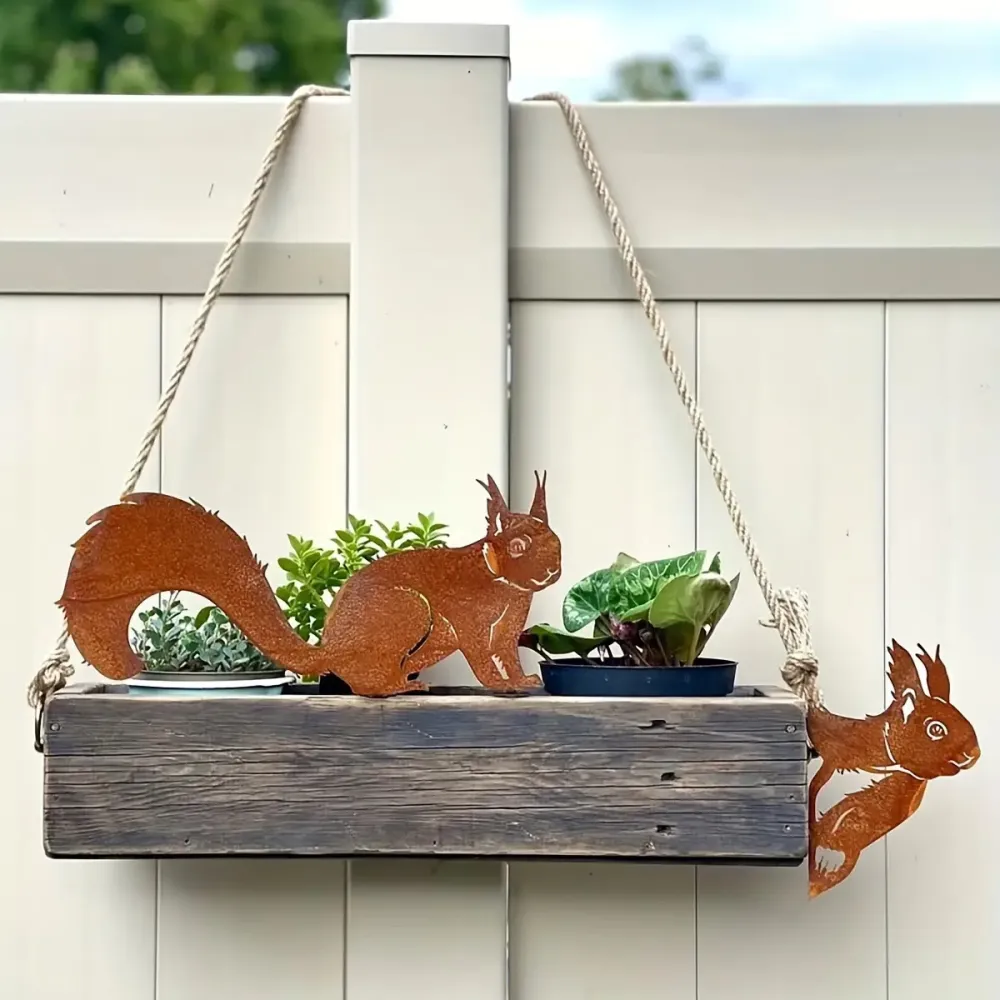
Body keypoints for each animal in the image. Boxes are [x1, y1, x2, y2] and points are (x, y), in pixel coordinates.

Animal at [57, 473, 562, 696]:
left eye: (556, 540)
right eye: (517, 545)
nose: (552, 571)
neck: (502, 583)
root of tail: (331, 652)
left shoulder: (511, 618)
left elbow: (506, 649)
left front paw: (522, 679)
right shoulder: (469, 613)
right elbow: (481, 651)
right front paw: (501, 685)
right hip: (412, 610)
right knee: (368, 685)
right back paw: (397, 688)